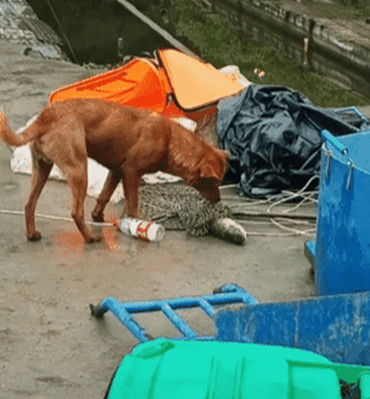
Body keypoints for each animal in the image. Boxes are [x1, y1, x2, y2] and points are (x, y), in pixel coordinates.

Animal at [0, 100, 228, 244]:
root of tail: (46, 116)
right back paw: (90, 238)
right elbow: (133, 204)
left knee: (29, 205)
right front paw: (137, 222)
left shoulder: (117, 171)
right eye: (214, 182)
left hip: (42, 169)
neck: (170, 140)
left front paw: (99, 215)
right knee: (76, 212)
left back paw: (32, 234)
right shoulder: (131, 172)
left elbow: (104, 196)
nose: (218, 200)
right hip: (79, 170)